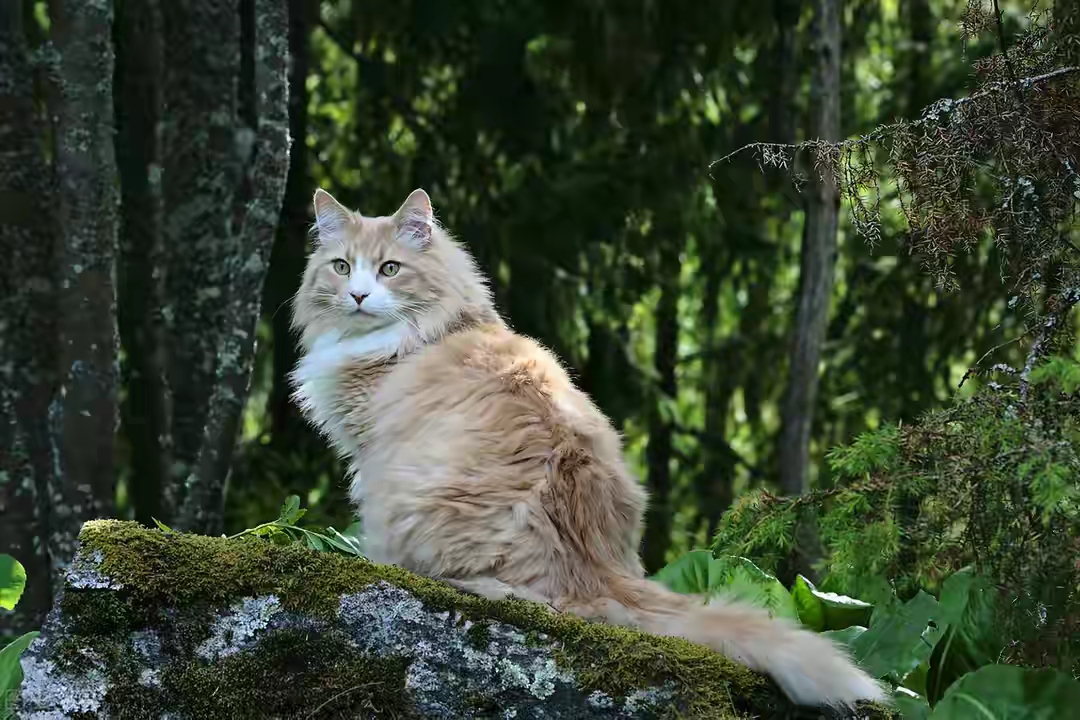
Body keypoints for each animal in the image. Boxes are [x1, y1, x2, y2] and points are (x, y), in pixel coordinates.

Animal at [289, 187, 885, 708]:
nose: (358, 295)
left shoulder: (369, 454)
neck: (433, 330)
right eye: (341, 267)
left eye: (389, 269)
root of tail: (603, 569)